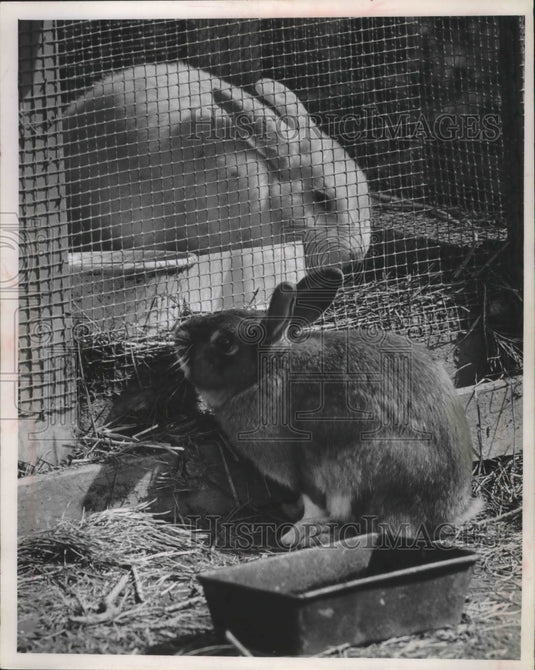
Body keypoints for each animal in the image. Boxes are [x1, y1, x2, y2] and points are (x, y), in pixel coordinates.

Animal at [174, 267, 483, 547]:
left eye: (225, 342)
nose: (180, 334)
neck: (265, 373)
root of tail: (448, 512)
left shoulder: (305, 470)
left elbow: (313, 503)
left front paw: (296, 531)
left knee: (368, 526)